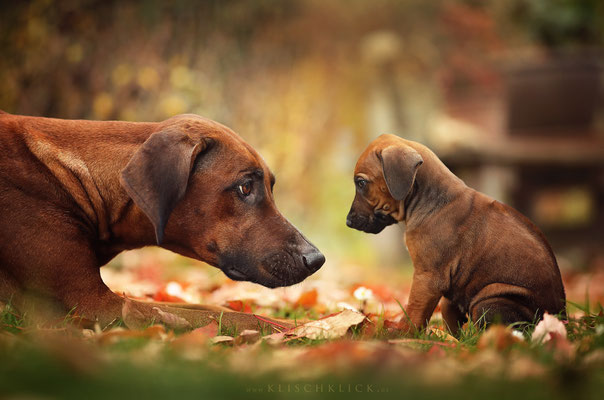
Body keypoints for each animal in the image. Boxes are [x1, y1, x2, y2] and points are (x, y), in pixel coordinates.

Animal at [0, 111, 326, 328]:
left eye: (270, 186)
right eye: (245, 186)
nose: (317, 259)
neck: (81, 176)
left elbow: (212, 307)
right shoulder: (92, 304)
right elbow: (235, 318)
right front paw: (302, 329)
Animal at [346, 134, 564, 334]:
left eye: (361, 183)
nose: (348, 221)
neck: (432, 201)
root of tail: (562, 320)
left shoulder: (427, 278)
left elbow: (415, 311)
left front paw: (404, 336)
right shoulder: (449, 288)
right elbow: (448, 313)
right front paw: (451, 339)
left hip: (491, 299)